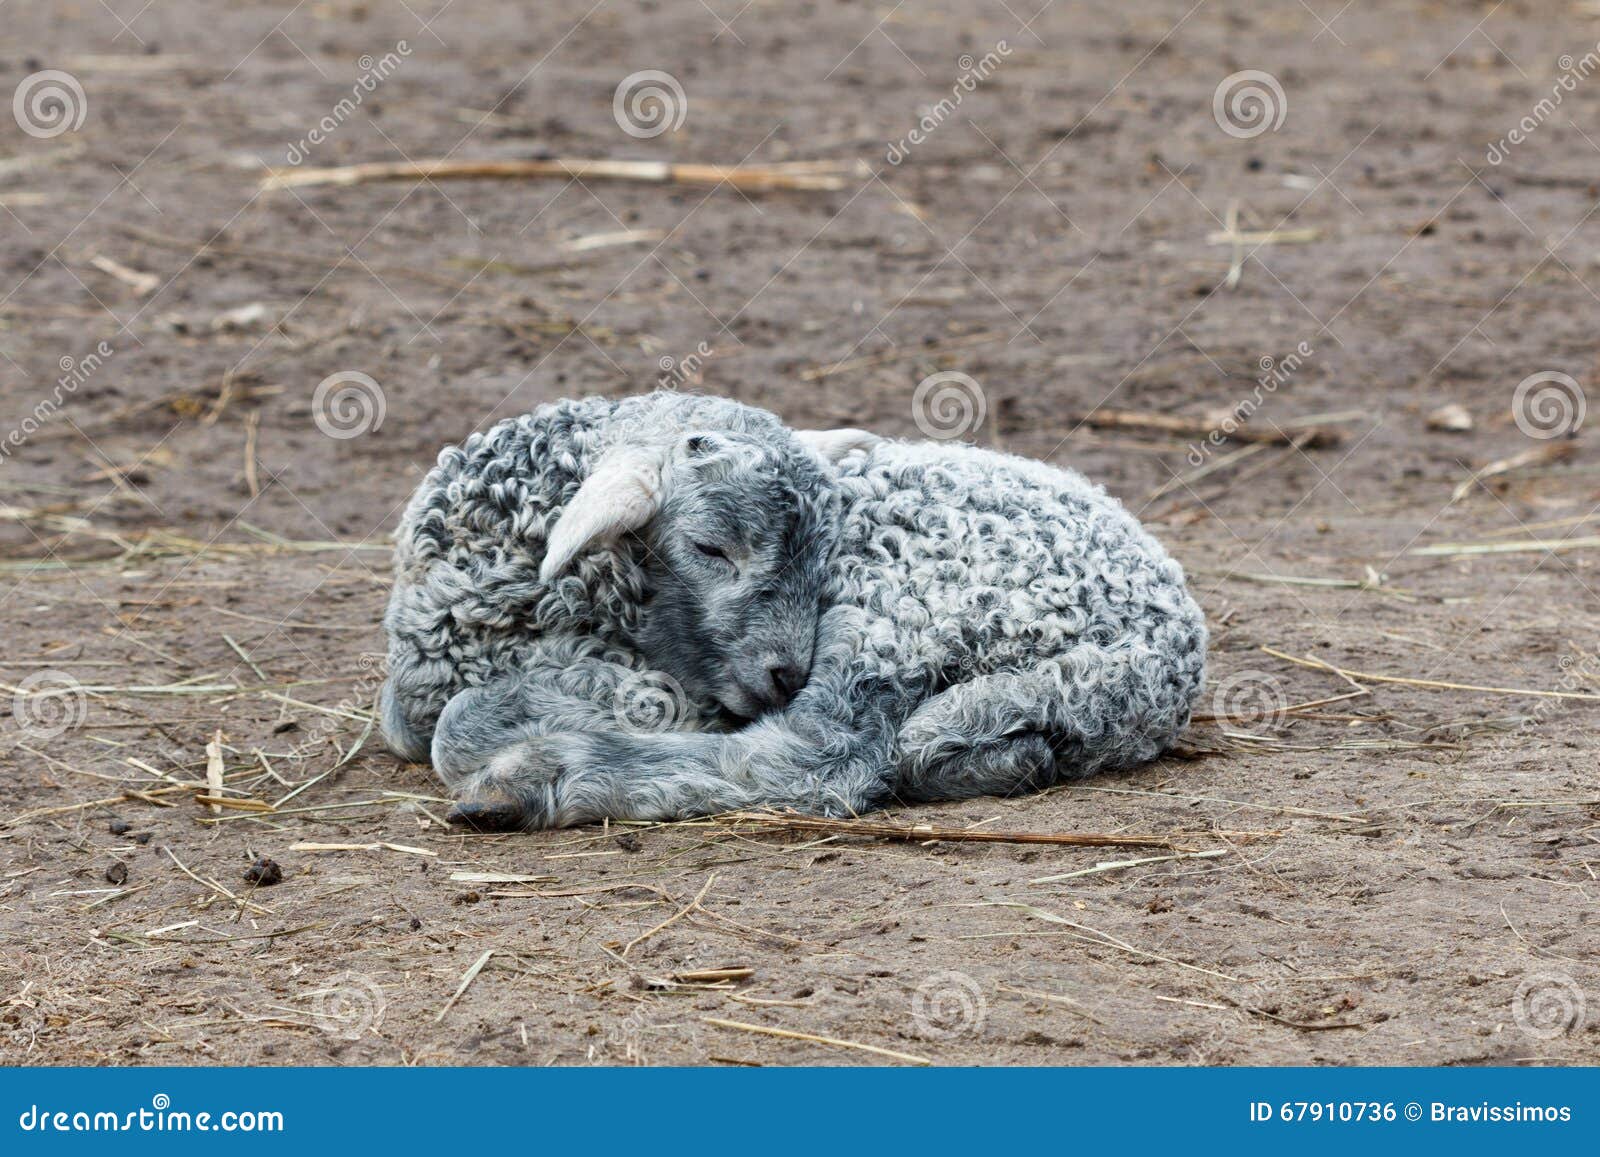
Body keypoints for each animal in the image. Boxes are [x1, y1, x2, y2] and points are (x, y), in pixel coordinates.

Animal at [418, 399, 1209, 830]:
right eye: (709, 547)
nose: (780, 674)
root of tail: (1163, 660)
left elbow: (456, 723)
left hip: (905, 603)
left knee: (816, 756)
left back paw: (529, 779)